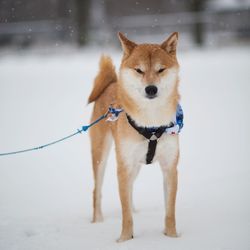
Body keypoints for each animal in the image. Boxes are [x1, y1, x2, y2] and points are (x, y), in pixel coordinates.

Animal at [87, 31, 180, 242]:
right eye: (139, 70)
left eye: (161, 70)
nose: (151, 89)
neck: (151, 123)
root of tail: (112, 83)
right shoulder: (124, 167)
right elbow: (125, 213)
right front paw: (124, 239)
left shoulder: (170, 167)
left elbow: (170, 211)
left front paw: (172, 236)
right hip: (102, 156)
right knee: (97, 191)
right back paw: (98, 221)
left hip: (134, 166)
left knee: (129, 192)